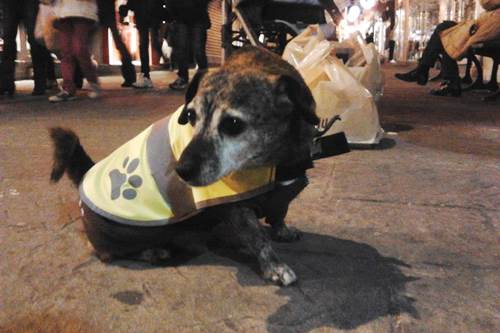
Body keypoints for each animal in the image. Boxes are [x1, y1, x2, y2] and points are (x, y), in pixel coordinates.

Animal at [48, 46, 318, 286]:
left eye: (232, 124)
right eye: (190, 116)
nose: (181, 170)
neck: (275, 160)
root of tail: (87, 173)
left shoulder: (283, 193)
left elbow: (279, 212)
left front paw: (282, 231)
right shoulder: (235, 209)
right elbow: (258, 238)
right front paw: (274, 266)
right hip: (124, 232)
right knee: (108, 252)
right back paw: (153, 251)